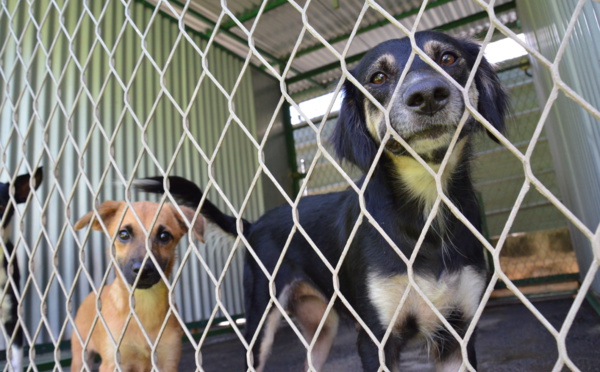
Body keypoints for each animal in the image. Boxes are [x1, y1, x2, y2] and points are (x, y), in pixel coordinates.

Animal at [71, 201, 204, 372]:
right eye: (123, 234)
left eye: (164, 236)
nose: (143, 270)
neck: (144, 304)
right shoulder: (112, 362)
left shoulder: (168, 361)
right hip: (81, 356)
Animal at [135, 30, 506, 370]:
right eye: (378, 77)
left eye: (448, 58)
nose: (427, 95)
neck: (424, 208)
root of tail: (254, 225)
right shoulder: (375, 340)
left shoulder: (458, 337)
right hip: (260, 321)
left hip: (320, 327)